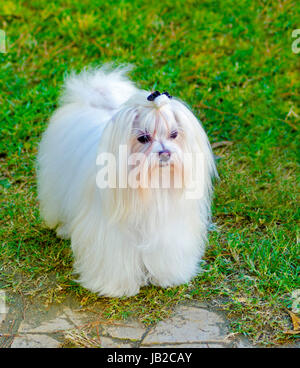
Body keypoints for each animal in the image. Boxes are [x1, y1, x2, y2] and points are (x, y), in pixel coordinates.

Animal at [37, 64, 217, 298]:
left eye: (174, 134)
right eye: (143, 138)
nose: (165, 153)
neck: (152, 184)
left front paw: (167, 277)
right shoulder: (109, 232)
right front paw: (116, 287)